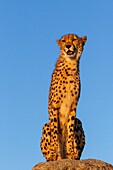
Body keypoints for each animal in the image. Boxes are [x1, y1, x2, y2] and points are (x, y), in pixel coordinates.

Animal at [47, 33, 87, 161]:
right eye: (64, 41)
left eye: (74, 39)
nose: (68, 46)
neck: (70, 65)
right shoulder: (54, 105)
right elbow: (54, 132)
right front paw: (53, 154)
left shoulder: (73, 105)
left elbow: (70, 131)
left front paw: (71, 153)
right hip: (46, 125)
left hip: (79, 122)